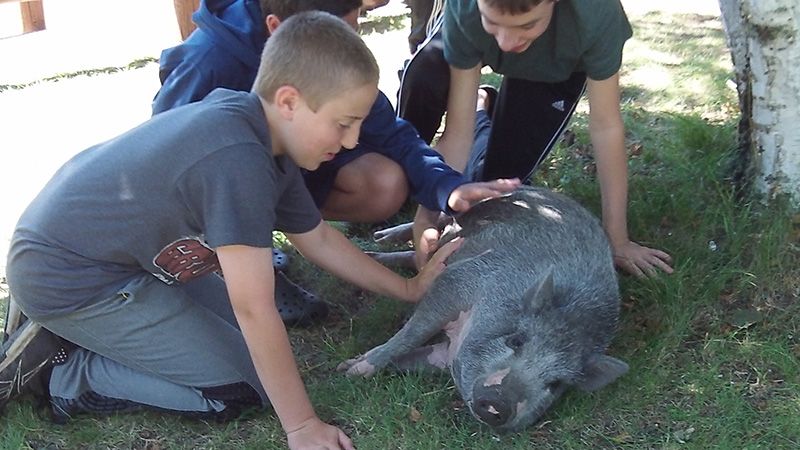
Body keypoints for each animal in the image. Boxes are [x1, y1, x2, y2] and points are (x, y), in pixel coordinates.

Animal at [338, 186, 632, 432]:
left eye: (556, 384)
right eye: (516, 340)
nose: (500, 404)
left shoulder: (444, 354)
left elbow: (412, 357)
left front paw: (346, 368)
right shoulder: (460, 280)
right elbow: (412, 334)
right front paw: (353, 369)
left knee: (413, 254)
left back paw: (376, 252)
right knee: (437, 219)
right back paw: (380, 238)